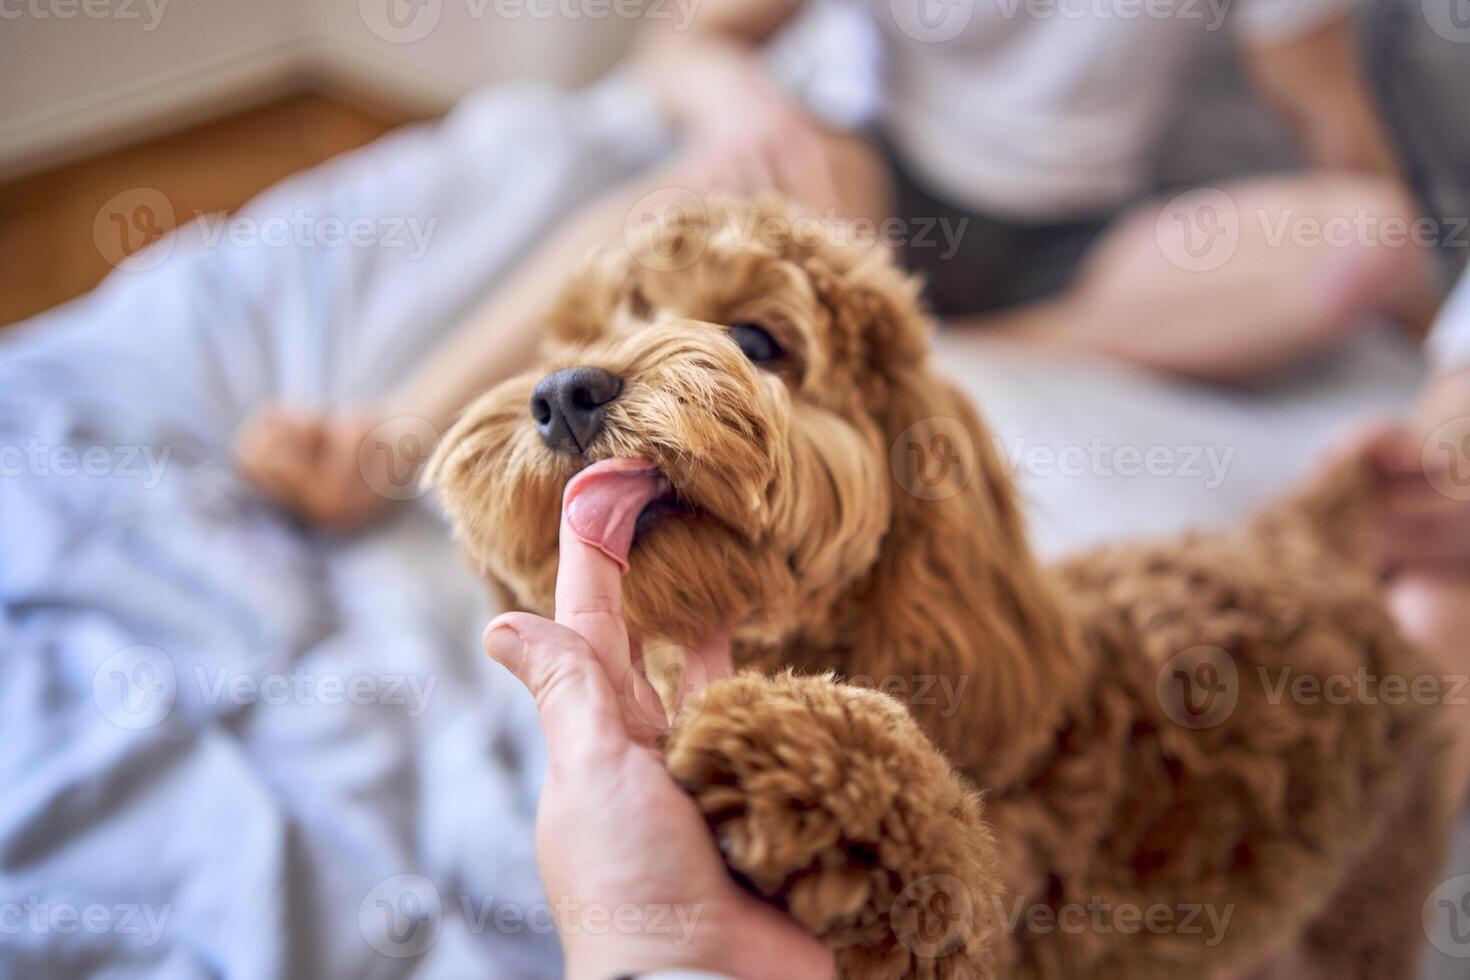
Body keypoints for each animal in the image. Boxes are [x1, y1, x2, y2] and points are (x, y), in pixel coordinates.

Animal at [426, 199, 1458, 980]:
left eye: (757, 340)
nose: (565, 390)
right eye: (582, 334)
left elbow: (940, 877)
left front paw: (808, 756)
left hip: (1374, 891)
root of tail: (1310, 548)